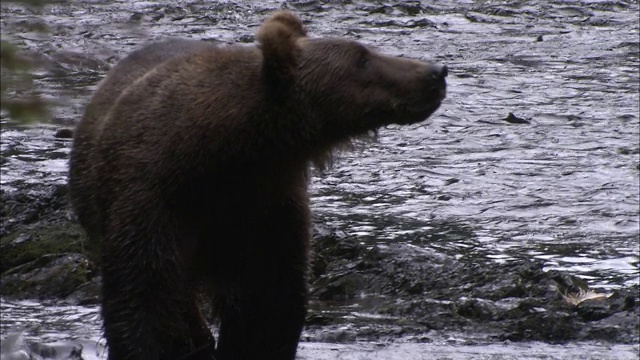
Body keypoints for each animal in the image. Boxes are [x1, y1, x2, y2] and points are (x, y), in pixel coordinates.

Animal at [69, 9, 444, 358]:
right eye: (362, 57)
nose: (436, 72)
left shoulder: (265, 202)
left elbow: (267, 300)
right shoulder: (153, 195)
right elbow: (144, 293)